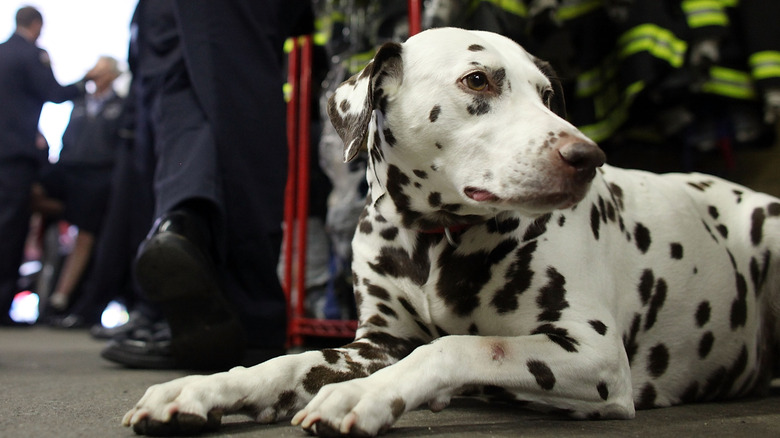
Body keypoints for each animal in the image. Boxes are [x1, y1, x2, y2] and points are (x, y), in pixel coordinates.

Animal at [122, 26, 780, 434]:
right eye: (478, 81)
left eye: (547, 95)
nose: (587, 156)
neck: (431, 242)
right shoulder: (373, 344)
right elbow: (288, 364)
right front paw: (202, 389)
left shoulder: (593, 356)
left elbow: (456, 346)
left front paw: (364, 396)